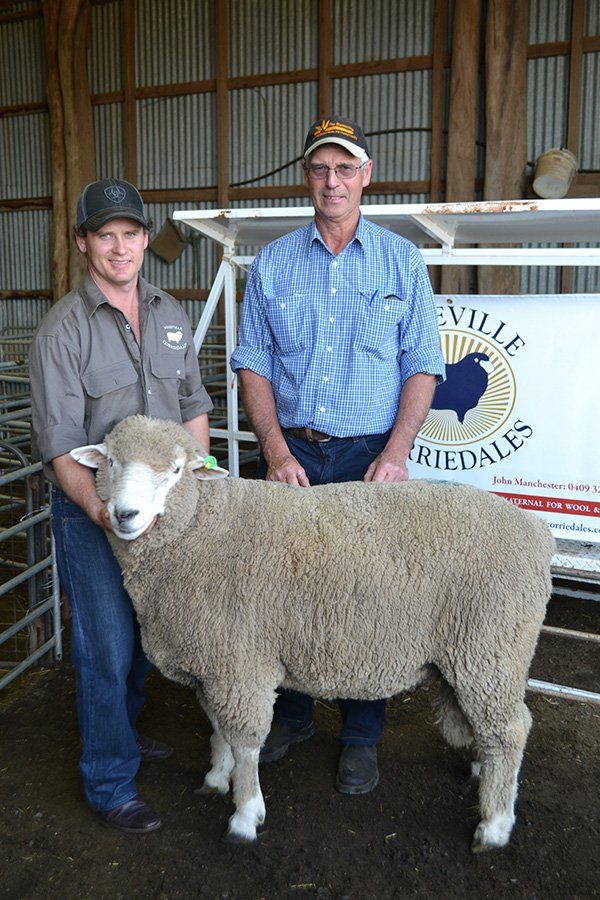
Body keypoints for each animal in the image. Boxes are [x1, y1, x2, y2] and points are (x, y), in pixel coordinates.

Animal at [71, 414, 554, 851]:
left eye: (174, 471)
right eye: (109, 461)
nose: (124, 515)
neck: (201, 528)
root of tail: (535, 530)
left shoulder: (239, 664)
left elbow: (244, 742)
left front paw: (245, 814)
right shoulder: (214, 664)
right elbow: (218, 729)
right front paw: (216, 778)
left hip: (490, 647)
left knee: (510, 729)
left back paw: (495, 825)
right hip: (477, 654)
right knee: (491, 730)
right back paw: (484, 773)